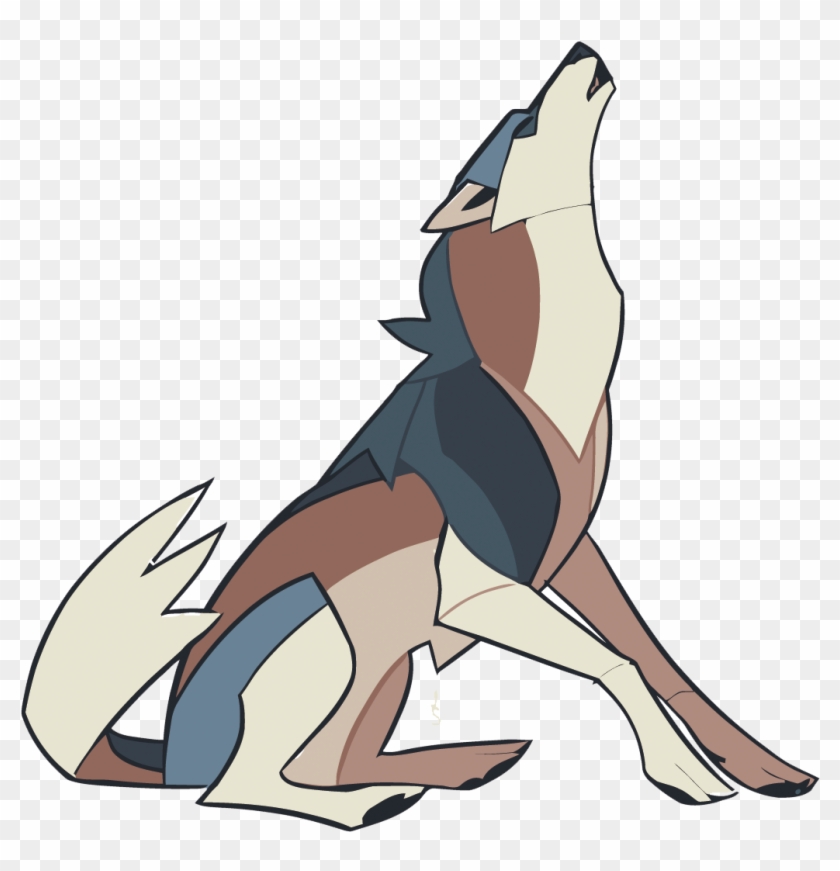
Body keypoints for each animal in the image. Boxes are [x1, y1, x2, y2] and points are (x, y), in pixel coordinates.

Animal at [23, 43, 817, 830]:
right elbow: (615, 663)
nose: (581, 47)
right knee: (242, 785)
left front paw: (767, 768)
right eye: (525, 124)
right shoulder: (472, 590)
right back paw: (370, 803)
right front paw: (682, 772)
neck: (538, 371)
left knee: (325, 763)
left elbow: (657, 659)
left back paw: (456, 762)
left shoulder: (571, 553)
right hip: (334, 631)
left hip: (387, 668)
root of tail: (168, 755)